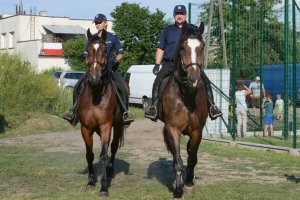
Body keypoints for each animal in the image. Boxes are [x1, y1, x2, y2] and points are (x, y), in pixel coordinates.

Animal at [77, 28, 125, 196]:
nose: (95, 77)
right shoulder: (85, 128)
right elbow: (89, 155)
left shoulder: (105, 126)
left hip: (118, 126)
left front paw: (104, 187)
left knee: (113, 147)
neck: (96, 94)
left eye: (105, 51)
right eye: (88, 51)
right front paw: (91, 181)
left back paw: (110, 172)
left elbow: (104, 155)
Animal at [159, 21, 209, 198]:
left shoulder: (197, 131)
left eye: (202, 47)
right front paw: (179, 189)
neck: (187, 96)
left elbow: (192, 158)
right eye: (182, 47)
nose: (193, 78)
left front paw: (189, 183)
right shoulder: (173, 129)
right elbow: (178, 162)